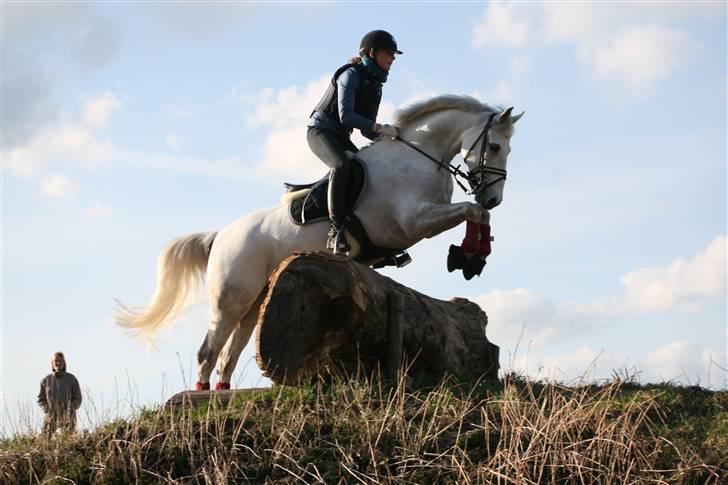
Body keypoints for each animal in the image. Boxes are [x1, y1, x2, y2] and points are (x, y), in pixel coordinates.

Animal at [115, 94, 524, 390]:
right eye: (496, 147)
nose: (495, 197)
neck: (422, 156)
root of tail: (220, 236)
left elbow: (476, 213)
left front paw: (473, 254)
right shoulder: (413, 220)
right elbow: (471, 210)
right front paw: (470, 255)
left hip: (257, 300)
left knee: (230, 352)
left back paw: (221, 394)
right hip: (231, 294)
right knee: (209, 349)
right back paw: (199, 398)